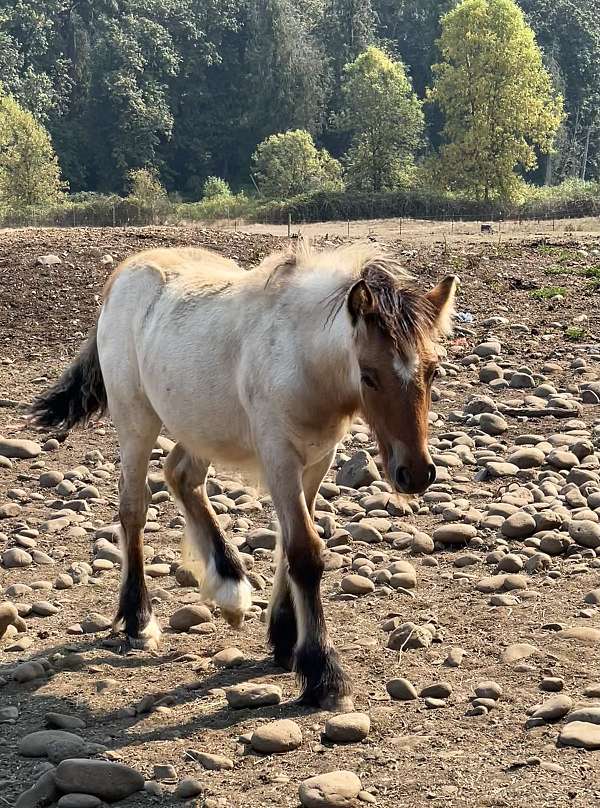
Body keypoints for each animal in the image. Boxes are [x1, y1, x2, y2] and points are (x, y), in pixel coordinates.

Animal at [28, 243, 458, 712]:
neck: (301, 357)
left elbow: (290, 545)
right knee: (133, 508)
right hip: (136, 420)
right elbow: (305, 551)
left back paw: (230, 585)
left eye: (433, 370)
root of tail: (125, 271)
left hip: (200, 427)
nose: (415, 473)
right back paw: (139, 620)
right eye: (369, 375)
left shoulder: (317, 460)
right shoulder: (279, 457)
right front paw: (322, 673)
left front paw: (285, 639)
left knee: (181, 475)